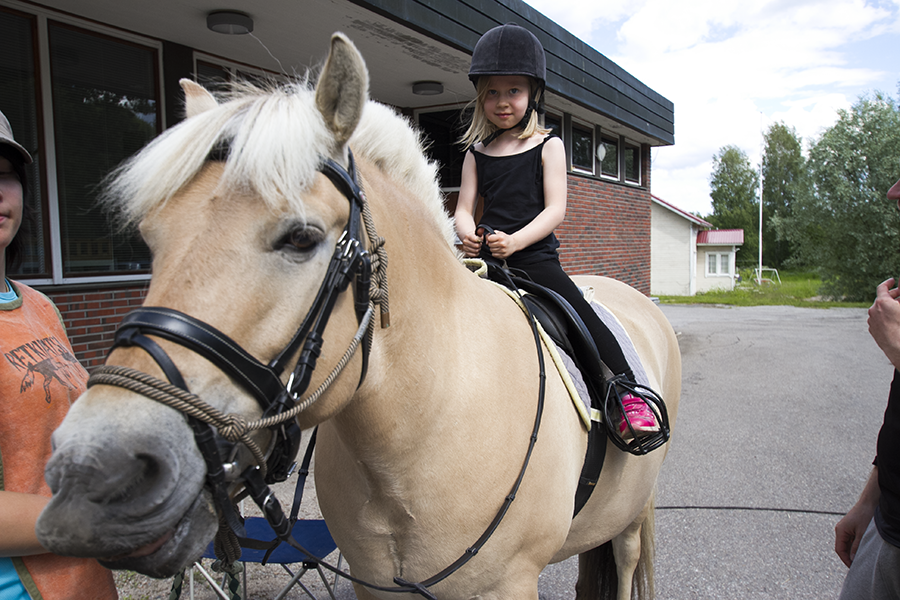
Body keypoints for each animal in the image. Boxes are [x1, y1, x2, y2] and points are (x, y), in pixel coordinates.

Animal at [37, 34, 684, 600]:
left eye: (301, 238)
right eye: (150, 240)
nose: (90, 476)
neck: (426, 425)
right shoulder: (374, 585)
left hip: (631, 519)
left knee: (625, 562)